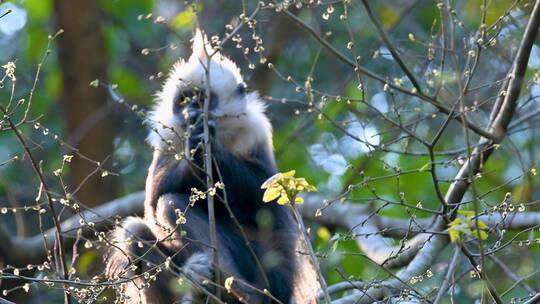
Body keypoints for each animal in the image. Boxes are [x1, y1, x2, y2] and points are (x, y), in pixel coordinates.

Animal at [104, 29, 320, 304]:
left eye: (202, 99)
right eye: (185, 100)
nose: (192, 111)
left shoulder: (255, 131)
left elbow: (266, 196)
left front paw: (208, 150)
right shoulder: (166, 141)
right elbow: (152, 200)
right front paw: (195, 149)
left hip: (270, 276)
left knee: (171, 203)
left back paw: (242, 291)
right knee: (136, 230)